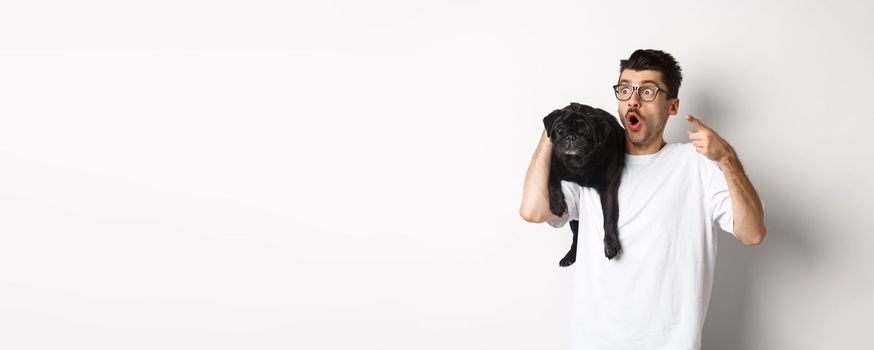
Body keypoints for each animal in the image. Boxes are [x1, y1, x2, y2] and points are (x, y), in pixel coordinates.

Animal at [540, 102, 624, 264]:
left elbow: (609, 219)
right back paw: (570, 257)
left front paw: (610, 244)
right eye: (560, 130)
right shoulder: (553, 164)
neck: (580, 166)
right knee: (576, 236)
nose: (571, 136)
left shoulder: (608, 189)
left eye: (585, 132)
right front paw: (557, 204)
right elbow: (552, 183)